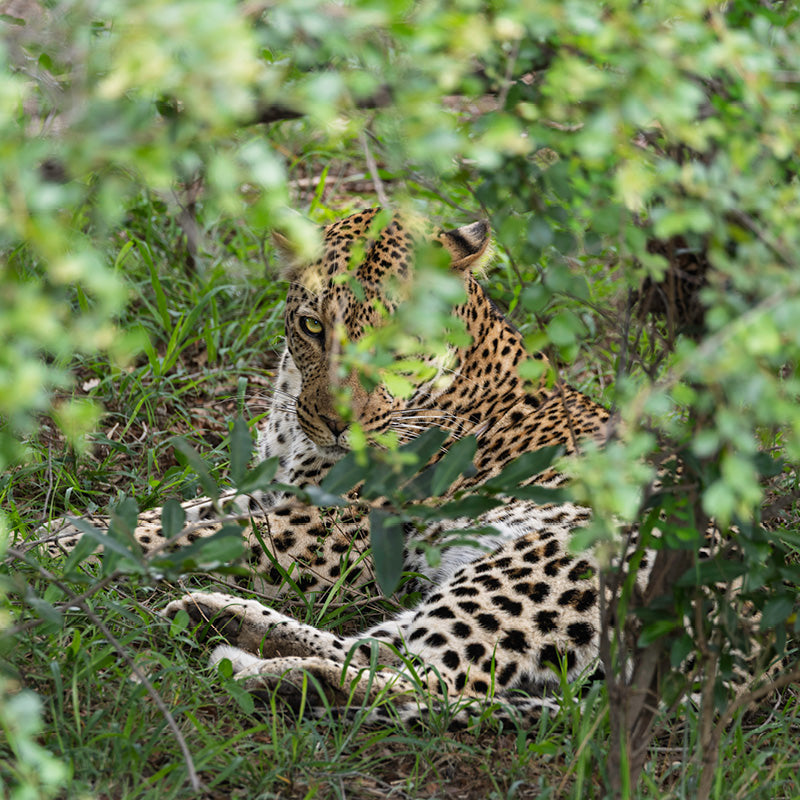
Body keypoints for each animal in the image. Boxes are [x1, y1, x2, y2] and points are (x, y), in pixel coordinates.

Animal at [41, 207, 646, 725]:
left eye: (399, 342)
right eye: (312, 327)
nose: (337, 424)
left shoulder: (323, 535)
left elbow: (182, 535)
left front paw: (45, 555)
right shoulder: (276, 493)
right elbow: (172, 515)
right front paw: (53, 532)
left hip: (538, 565)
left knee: (433, 684)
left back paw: (267, 675)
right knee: (381, 649)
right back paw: (226, 623)